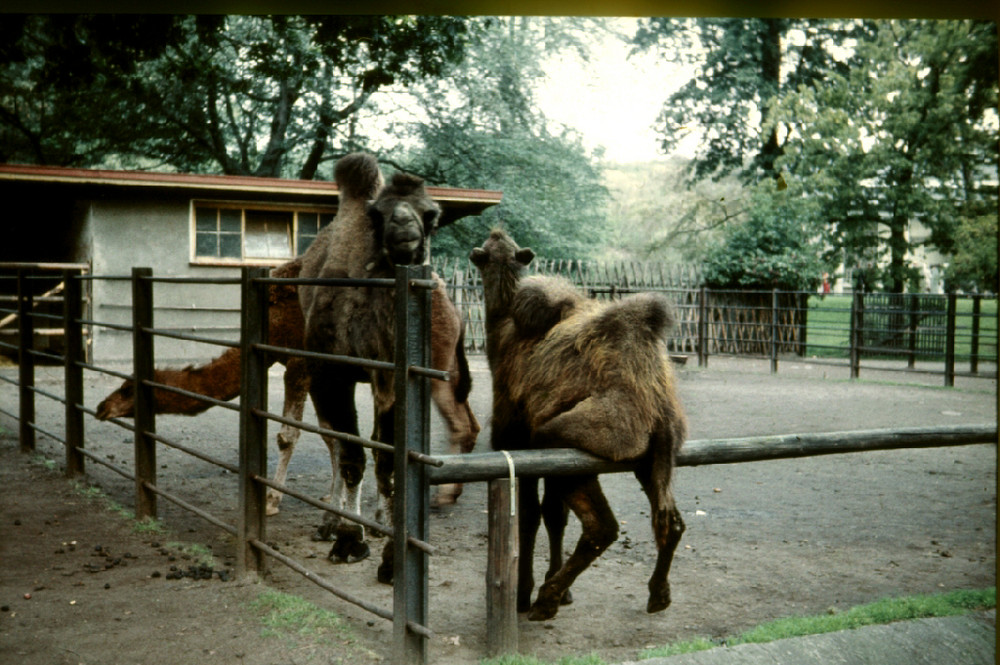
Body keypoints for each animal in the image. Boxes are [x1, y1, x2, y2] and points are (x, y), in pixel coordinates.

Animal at [94, 254, 480, 520]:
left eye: (127, 389)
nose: (100, 407)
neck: (271, 314)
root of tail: (456, 310)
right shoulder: (320, 374)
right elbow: (331, 435)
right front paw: (332, 502)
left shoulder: (299, 364)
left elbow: (289, 435)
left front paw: (270, 501)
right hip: (444, 365)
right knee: (468, 420)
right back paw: (447, 493)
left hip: (430, 366)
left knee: (457, 423)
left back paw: (441, 497)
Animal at [296, 152, 454, 580]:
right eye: (378, 213)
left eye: (431, 214)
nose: (403, 226)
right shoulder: (330, 376)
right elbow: (351, 456)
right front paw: (350, 541)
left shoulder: (402, 382)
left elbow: (392, 461)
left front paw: (392, 557)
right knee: (335, 444)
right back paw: (333, 522)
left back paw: (381, 521)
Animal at [468, 230, 688, 624]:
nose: (495, 232)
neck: (503, 327)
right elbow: (555, 517)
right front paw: (563, 592)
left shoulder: (518, 439)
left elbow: (530, 517)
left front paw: (524, 594)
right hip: (654, 454)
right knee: (670, 519)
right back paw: (657, 595)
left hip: (576, 438)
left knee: (603, 526)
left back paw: (544, 601)